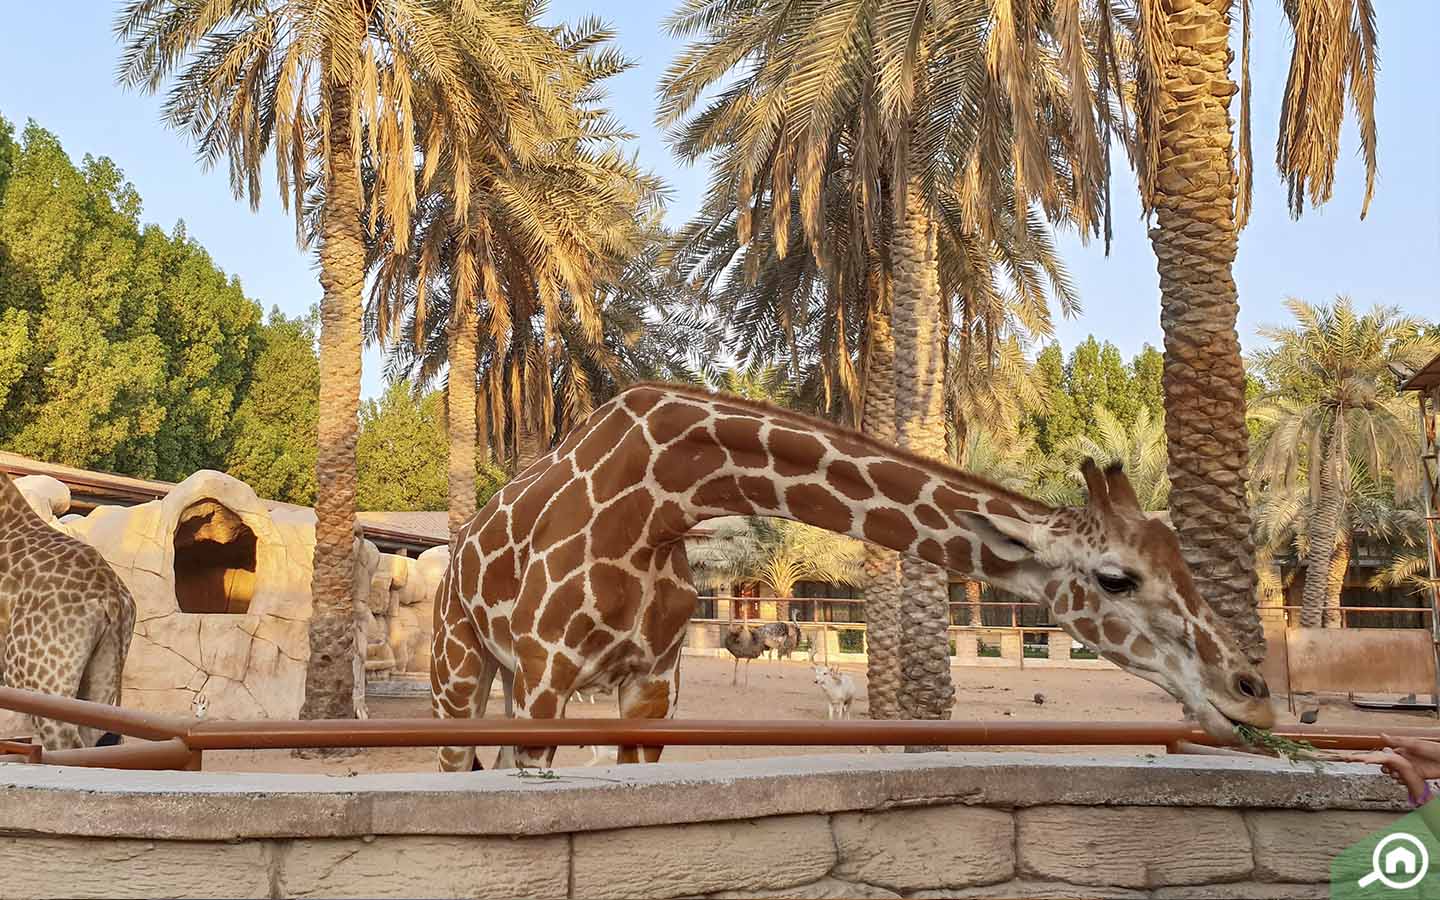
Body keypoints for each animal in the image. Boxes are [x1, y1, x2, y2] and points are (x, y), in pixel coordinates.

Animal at [429, 383, 1272, 766]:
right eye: (1116, 577)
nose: (1251, 693)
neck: (664, 496)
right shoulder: (548, 674)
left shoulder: (651, 688)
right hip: (461, 670)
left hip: (511, 679)